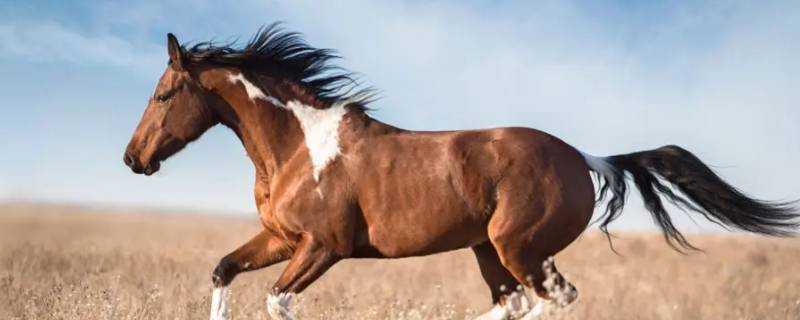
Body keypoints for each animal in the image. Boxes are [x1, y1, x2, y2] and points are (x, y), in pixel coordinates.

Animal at [122, 25, 796, 320]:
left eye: (162, 94)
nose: (133, 159)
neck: (298, 148)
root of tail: (584, 157)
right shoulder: (280, 239)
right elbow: (223, 271)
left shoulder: (323, 246)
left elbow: (277, 300)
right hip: (488, 250)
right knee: (514, 304)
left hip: (519, 248)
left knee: (551, 300)